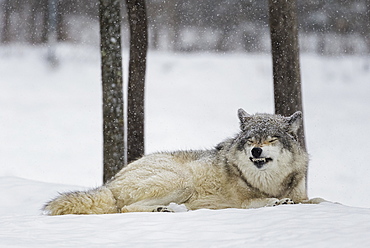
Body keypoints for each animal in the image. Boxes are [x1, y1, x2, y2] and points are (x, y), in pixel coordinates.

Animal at [43, 108, 326, 215]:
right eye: (250, 140)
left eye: (270, 139)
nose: (256, 151)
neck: (269, 182)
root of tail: (110, 182)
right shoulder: (240, 202)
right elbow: (259, 202)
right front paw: (277, 202)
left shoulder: (302, 193)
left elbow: (318, 200)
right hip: (181, 181)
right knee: (124, 208)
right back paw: (167, 210)